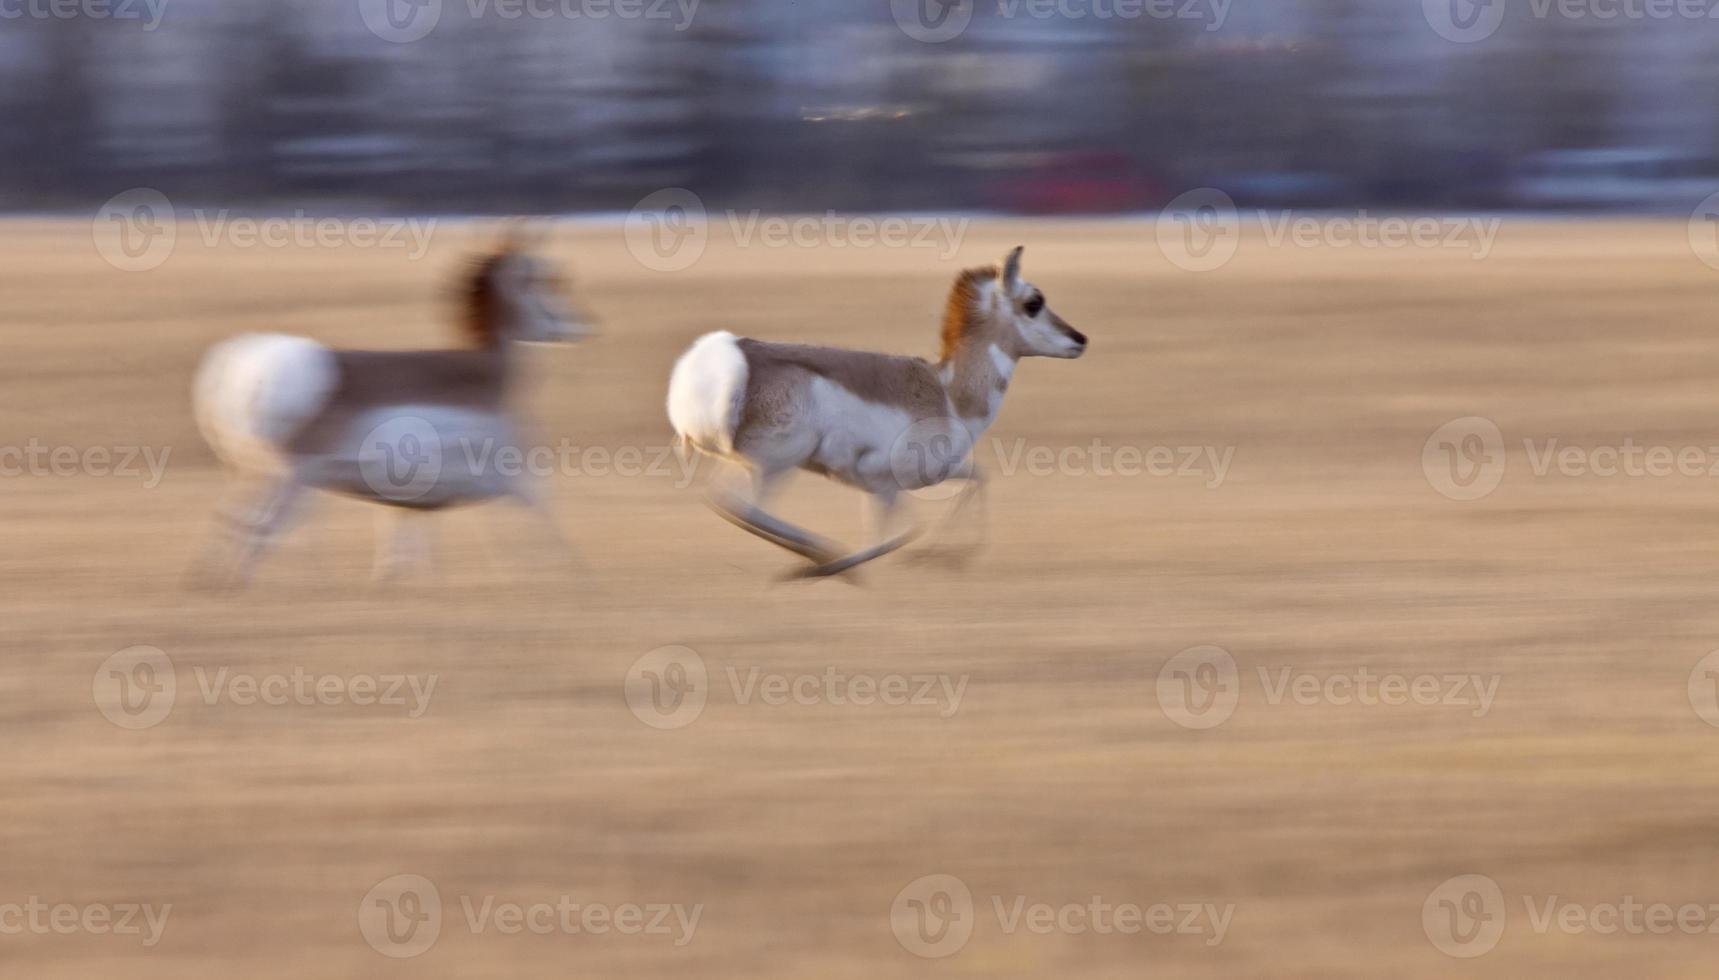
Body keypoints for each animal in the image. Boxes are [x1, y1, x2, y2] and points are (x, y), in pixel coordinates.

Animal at [192, 228, 594, 584]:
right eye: (546, 276)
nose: (583, 325)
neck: (485, 373)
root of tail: (244, 358)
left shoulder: (414, 491)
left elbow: (404, 530)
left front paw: (402, 578)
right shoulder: (504, 475)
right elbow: (540, 513)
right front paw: (570, 573)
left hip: (253, 472)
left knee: (234, 518)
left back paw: (210, 579)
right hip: (290, 478)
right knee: (260, 526)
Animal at [663, 245, 1079, 581]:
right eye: (1034, 302)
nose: (1081, 339)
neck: (948, 393)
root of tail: (735, 358)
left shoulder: (913, 480)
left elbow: (979, 479)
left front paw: (945, 557)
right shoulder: (883, 484)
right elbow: (900, 535)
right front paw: (849, 567)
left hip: (757, 466)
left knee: (728, 504)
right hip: (774, 468)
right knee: (744, 508)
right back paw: (820, 558)